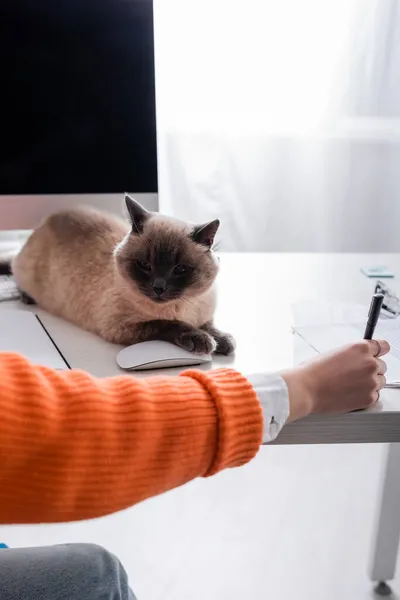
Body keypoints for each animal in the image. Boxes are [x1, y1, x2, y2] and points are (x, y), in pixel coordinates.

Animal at [11, 197, 234, 354]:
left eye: (180, 269)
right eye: (145, 265)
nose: (159, 287)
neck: (181, 308)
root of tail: (45, 221)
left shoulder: (204, 313)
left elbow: (209, 325)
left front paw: (223, 341)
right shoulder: (121, 327)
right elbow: (169, 324)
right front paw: (203, 340)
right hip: (26, 272)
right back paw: (26, 297)